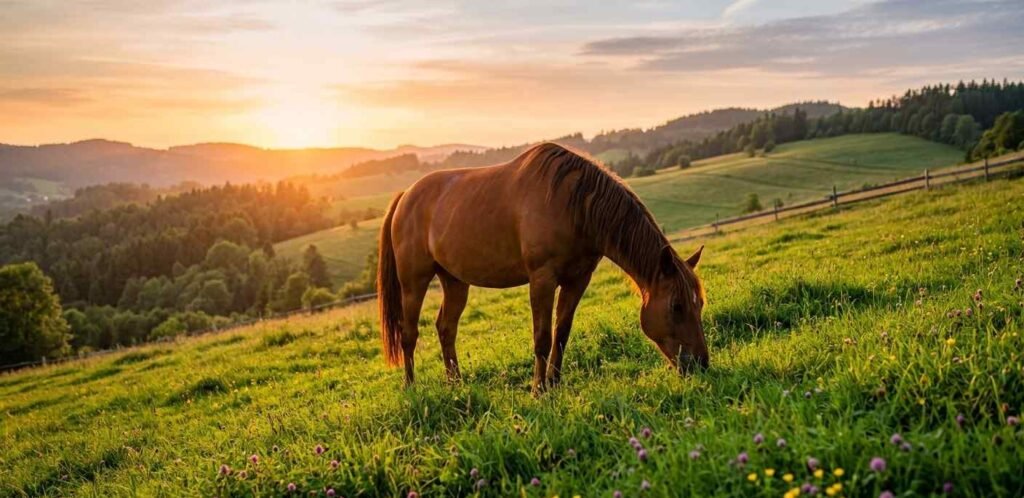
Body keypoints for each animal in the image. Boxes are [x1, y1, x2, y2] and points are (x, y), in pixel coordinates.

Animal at [376, 142, 708, 392]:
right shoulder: (542, 279)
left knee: (446, 328)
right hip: (414, 281)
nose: (701, 364)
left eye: (699, 304)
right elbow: (542, 336)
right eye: (676, 306)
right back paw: (411, 388)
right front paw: (539, 390)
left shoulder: (578, 279)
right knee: (408, 334)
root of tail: (405, 196)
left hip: (455, 281)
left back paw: (456, 384)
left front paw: (555, 383)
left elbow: (561, 333)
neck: (572, 205)